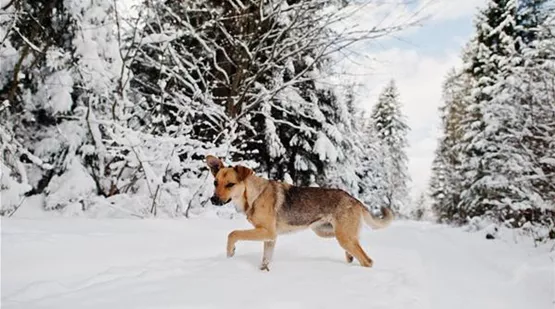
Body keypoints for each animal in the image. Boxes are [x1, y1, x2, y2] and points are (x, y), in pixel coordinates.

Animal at [205, 154, 396, 270]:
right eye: (215, 183)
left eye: (230, 184)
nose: (213, 200)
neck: (253, 195)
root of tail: (354, 199)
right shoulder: (270, 238)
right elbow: (265, 260)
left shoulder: (267, 232)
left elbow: (233, 233)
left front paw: (230, 253)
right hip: (329, 232)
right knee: (356, 247)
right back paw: (349, 258)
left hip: (342, 236)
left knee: (367, 261)